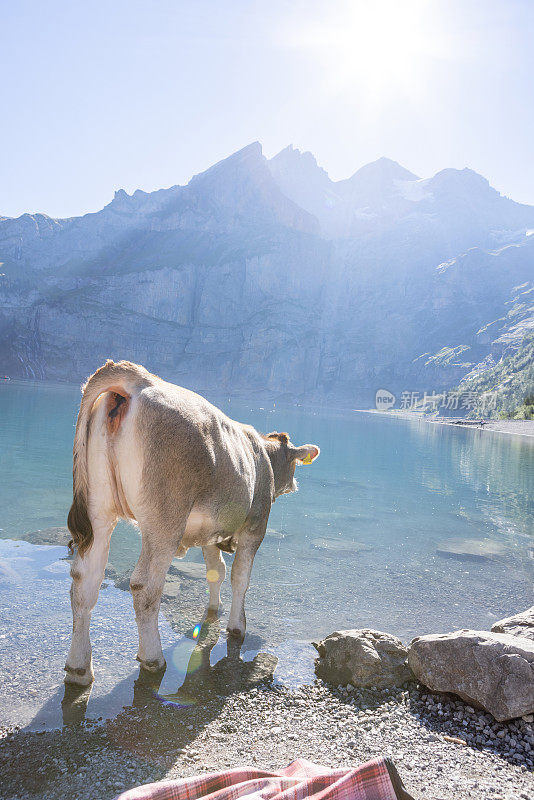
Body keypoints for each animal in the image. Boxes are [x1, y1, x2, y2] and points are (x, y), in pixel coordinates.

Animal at [65, 360, 320, 684]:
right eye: (294, 463)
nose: (295, 484)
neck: (262, 456)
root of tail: (140, 379)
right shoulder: (256, 525)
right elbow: (240, 577)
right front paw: (237, 627)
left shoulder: (209, 533)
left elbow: (216, 572)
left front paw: (213, 610)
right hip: (164, 519)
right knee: (144, 586)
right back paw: (153, 658)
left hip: (98, 510)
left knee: (84, 582)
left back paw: (79, 667)